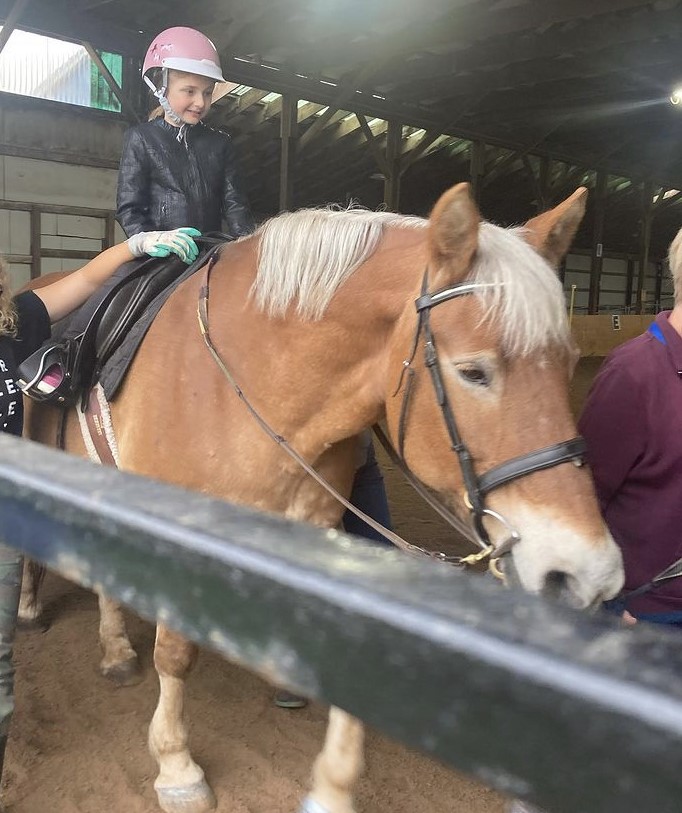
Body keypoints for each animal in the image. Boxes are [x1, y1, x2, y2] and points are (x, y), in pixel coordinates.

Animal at [21, 184, 620, 812]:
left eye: (569, 364)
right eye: (474, 372)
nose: (588, 574)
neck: (253, 382)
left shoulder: (317, 527)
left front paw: (332, 785)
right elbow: (176, 654)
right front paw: (176, 766)